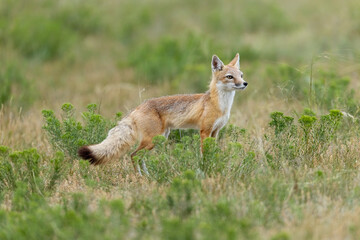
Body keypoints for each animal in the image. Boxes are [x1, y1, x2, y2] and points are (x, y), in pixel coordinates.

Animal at [78, 53, 248, 175]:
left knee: (139, 157)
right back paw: (140, 177)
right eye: (230, 77)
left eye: (241, 75)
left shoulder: (215, 131)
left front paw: (214, 164)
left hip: (159, 139)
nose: (245, 83)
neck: (220, 105)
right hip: (152, 140)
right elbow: (204, 154)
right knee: (133, 155)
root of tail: (138, 107)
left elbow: (213, 152)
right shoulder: (204, 131)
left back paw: (147, 176)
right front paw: (205, 168)